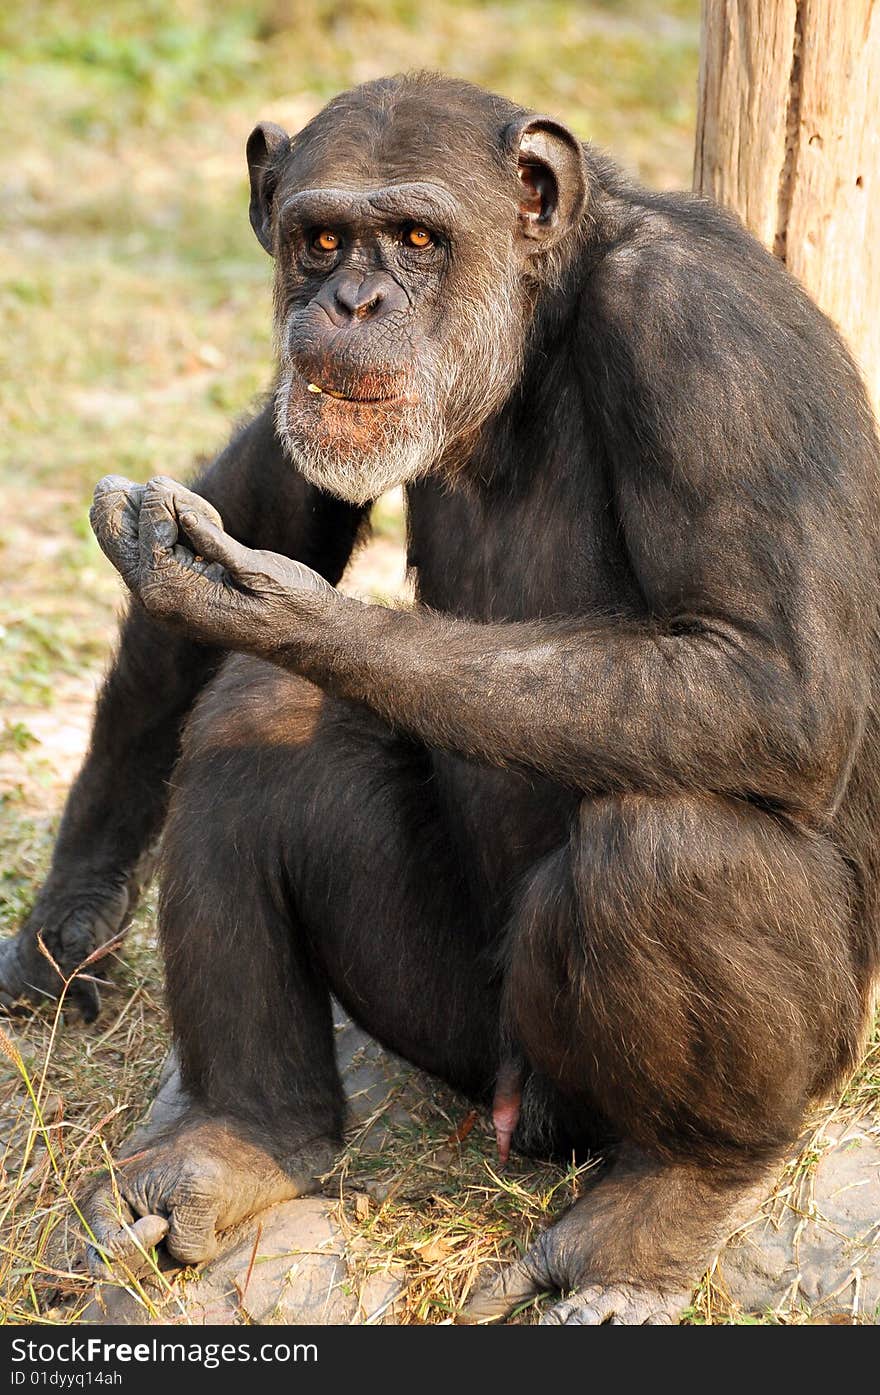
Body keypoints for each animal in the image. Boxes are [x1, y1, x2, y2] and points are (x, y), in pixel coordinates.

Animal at [1, 73, 880, 1316]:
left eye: (417, 238)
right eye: (320, 241)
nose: (353, 301)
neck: (537, 330)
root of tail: (516, 1111)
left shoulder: (710, 339)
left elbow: (771, 673)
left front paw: (276, 607)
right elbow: (268, 498)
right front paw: (69, 915)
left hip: (676, 1078)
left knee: (673, 840)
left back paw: (663, 1203)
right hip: (449, 1021)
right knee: (257, 724)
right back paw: (236, 1141)